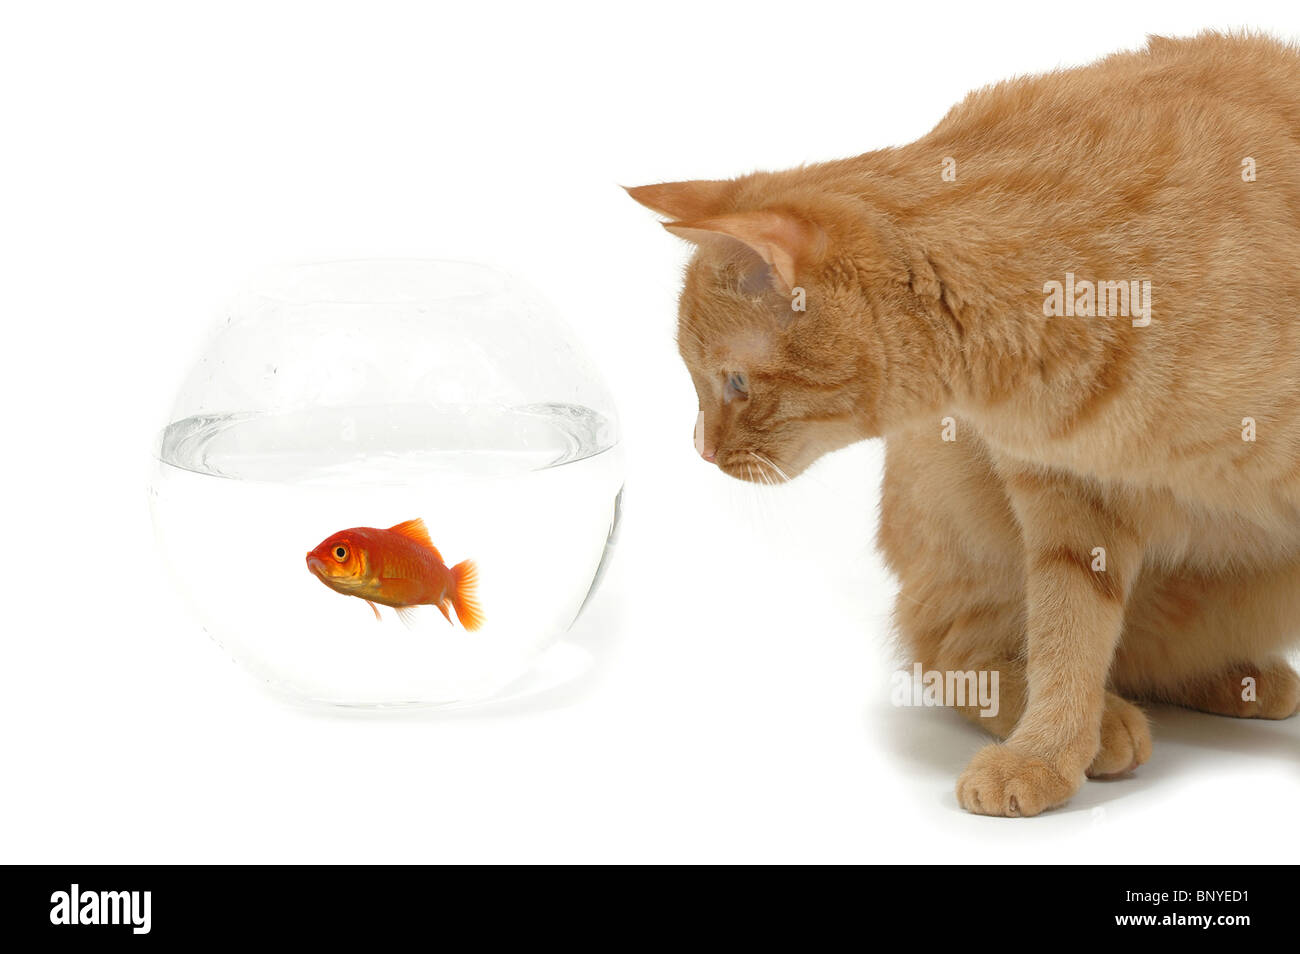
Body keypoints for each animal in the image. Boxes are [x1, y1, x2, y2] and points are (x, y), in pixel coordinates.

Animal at [626, 33, 1300, 816]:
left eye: (733, 383)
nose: (701, 450)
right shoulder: (1066, 502)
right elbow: (1066, 638)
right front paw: (1046, 752)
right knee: (953, 650)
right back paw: (1110, 722)